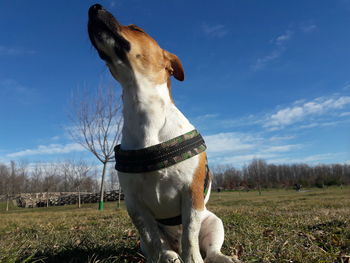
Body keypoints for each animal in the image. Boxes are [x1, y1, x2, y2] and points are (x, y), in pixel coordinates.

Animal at [87, 4, 242, 263]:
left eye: (137, 28)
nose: (94, 7)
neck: (145, 111)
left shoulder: (192, 196)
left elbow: (189, 236)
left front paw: (192, 259)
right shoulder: (135, 205)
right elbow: (152, 239)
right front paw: (161, 256)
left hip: (213, 221)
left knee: (209, 249)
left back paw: (223, 257)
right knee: (160, 245)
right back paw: (169, 255)